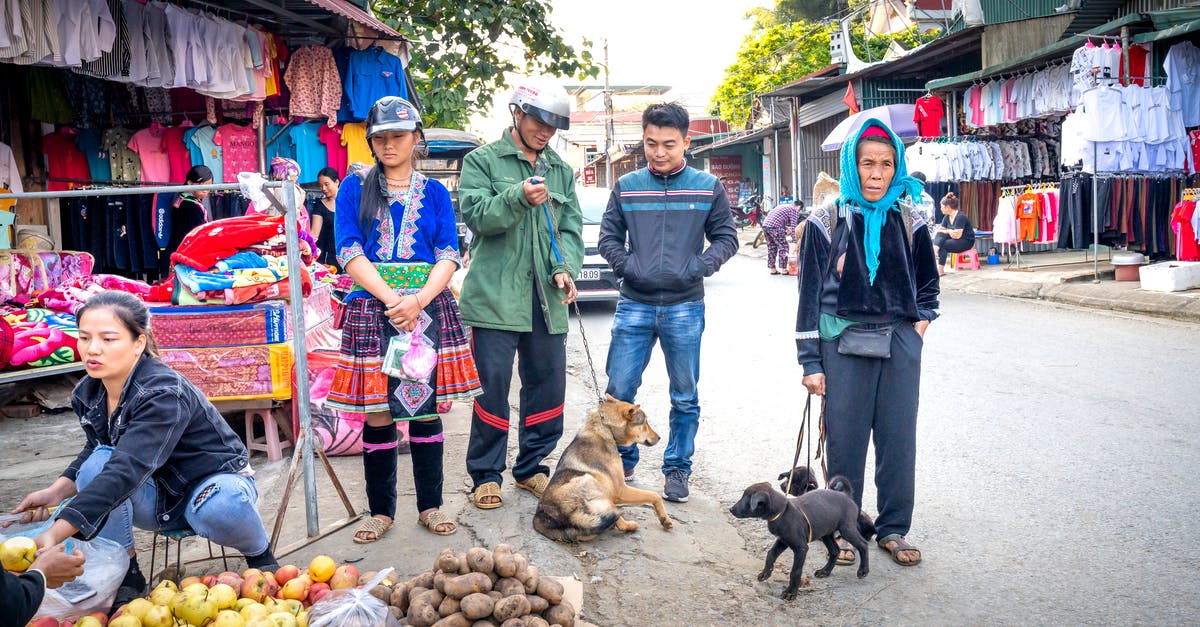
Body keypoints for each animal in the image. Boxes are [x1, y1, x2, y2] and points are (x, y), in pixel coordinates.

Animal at [535, 393, 676, 538]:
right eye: (644, 422)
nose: (659, 438)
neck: (606, 428)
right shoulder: (621, 489)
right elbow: (654, 495)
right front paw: (665, 518)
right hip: (592, 482)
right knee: (617, 517)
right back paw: (630, 525)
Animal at [729, 475, 873, 598]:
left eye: (745, 498)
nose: (730, 509)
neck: (782, 511)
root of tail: (846, 495)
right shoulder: (783, 540)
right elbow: (770, 554)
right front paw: (765, 573)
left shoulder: (801, 548)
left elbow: (795, 571)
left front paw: (791, 593)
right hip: (826, 533)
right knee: (835, 550)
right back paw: (825, 571)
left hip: (846, 529)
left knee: (863, 544)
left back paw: (863, 571)